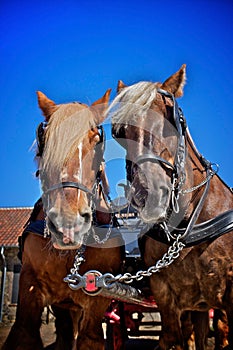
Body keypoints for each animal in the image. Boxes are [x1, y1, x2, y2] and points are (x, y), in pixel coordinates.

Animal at [3, 91, 124, 350]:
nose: (68, 224)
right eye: (45, 142)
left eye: (97, 140)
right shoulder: (31, 286)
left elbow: (90, 339)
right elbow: (26, 333)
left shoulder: (97, 297)